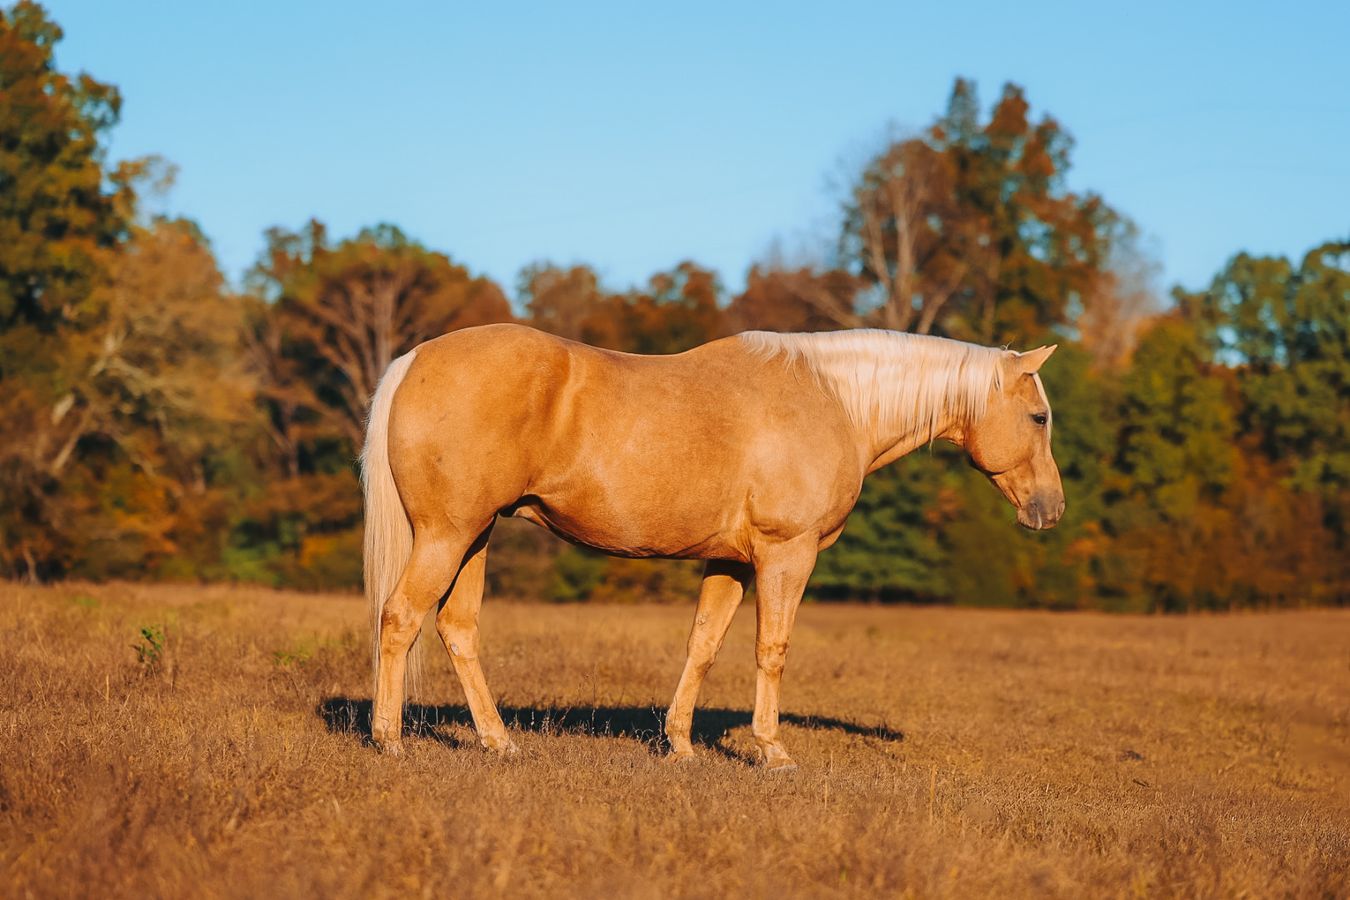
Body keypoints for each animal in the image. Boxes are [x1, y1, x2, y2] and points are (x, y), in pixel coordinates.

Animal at [361, 323, 1063, 769]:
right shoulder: (787, 554)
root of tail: (413, 359)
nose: (1050, 509)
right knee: (400, 618)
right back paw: (389, 740)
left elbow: (703, 645)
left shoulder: (729, 561)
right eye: (1039, 417)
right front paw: (772, 751)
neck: (834, 399)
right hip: (449, 536)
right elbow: (771, 650)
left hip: (475, 537)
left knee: (456, 628)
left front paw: (680, 743)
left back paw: (498, 743)